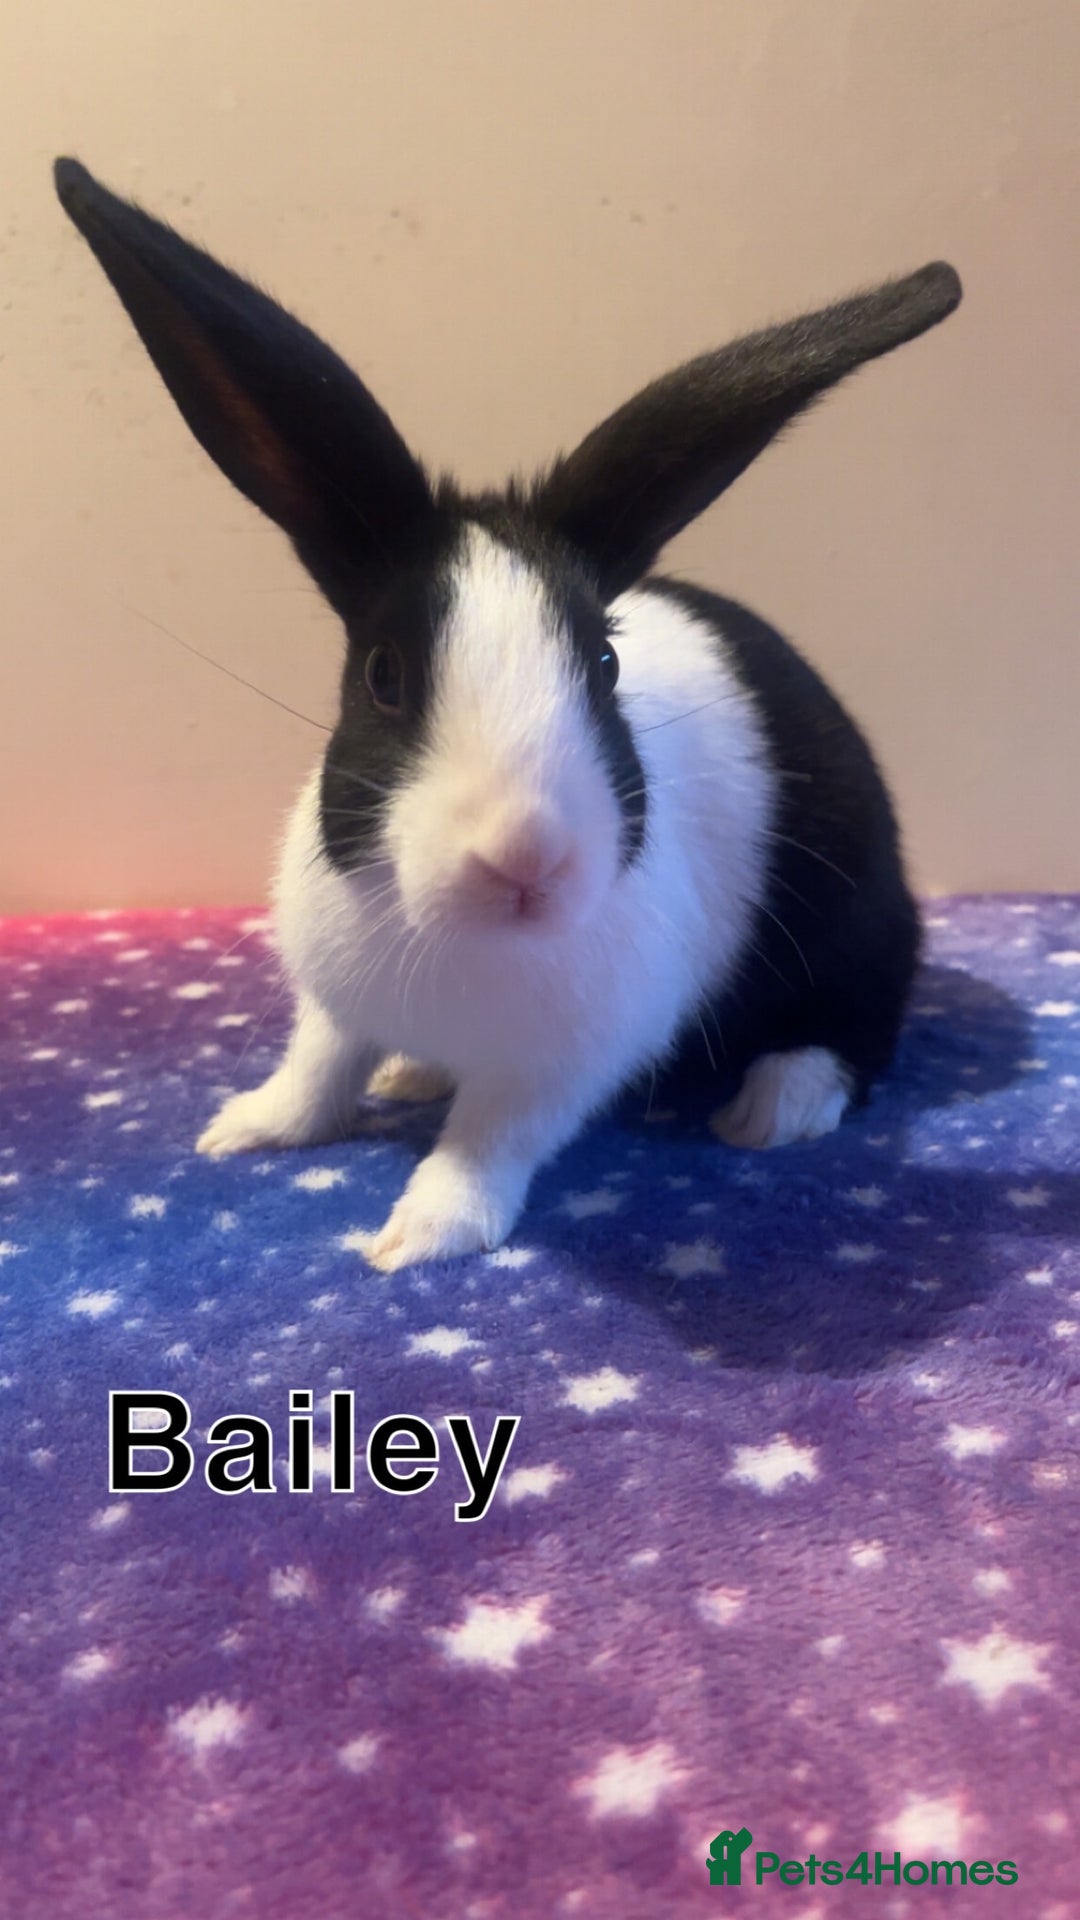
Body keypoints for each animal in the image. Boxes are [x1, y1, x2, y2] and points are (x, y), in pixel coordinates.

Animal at [54, 157, 961, 1269]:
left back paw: (774, 1104)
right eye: (385, 674)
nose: (527, 859)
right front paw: (246, 1128)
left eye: (604, 665)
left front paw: (420, 1236)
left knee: (863, 1019)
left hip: (855, 914)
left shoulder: (564, 1061)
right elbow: (320, 1066)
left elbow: (491, 1139)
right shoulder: (333, 1002)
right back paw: (412, 1070)